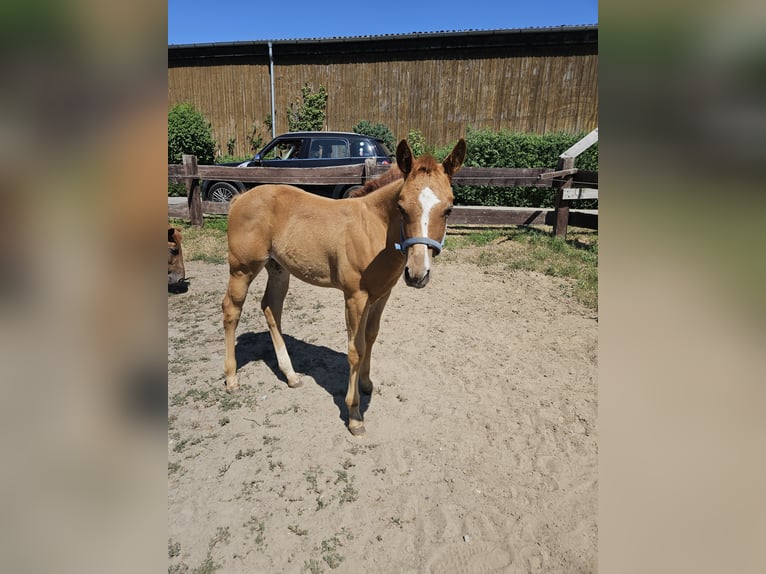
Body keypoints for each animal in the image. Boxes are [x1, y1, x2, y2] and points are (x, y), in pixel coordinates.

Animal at [222, 138, 466, 435]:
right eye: (401, 207)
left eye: (449, 209)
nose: (417, 274)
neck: (374, 229)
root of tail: (240, 199)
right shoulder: (355, 297)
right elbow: (355, 349)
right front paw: (354, 415)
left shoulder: (381, 295)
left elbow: (371, 337)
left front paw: (366, 383)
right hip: (242, 269)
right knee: (231, 311)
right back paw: (232, 379)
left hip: (278, 269)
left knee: (271, 308)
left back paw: (291, 375)